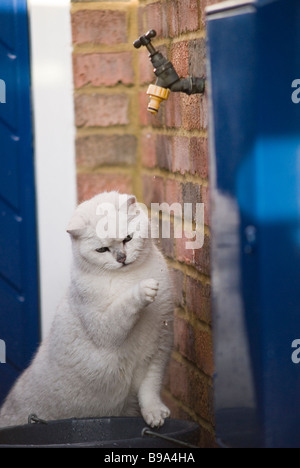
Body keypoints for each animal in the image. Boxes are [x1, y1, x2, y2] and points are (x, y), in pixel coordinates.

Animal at [0, 192, 173, 430]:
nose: (121, 258)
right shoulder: (105, 328)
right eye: (102, 250)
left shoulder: (159, 350)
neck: (128, 277)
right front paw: (144, 289)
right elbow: (124, 305)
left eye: (128, 239)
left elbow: (150, 389)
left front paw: (155, 416)